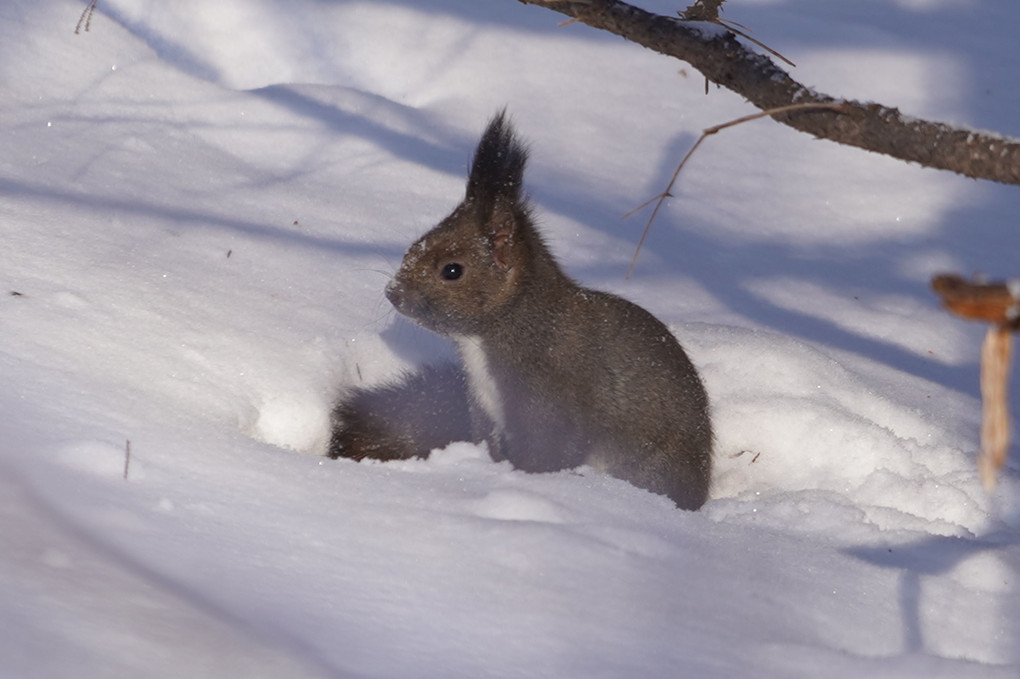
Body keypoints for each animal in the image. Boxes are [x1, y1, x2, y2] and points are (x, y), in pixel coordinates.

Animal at [330, 111, 714, 507]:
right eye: (415, 244)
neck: (503, 326)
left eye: (452, 270)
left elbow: (547, 455)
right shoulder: (483, 410)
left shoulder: (550, 403)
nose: (393, 293)